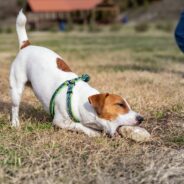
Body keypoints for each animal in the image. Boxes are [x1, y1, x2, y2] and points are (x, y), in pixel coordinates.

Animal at [9, 10, 144, 137]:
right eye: (120, 104)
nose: (141, 118)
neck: (82, 101)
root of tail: (26, 45)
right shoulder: (61, 121)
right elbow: (79, 125)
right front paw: (93, 133)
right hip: (16, 88)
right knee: (15, 107)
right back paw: (15, 123)